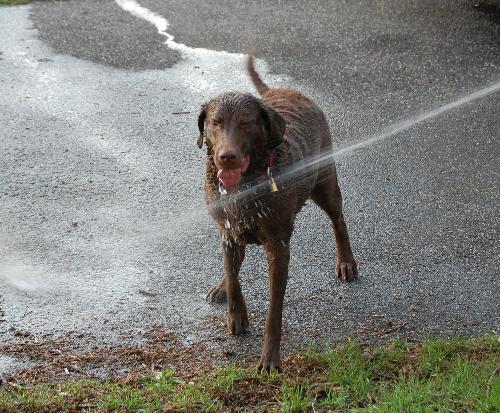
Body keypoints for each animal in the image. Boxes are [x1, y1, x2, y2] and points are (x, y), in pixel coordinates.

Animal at [197, 54, 358, 370]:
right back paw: (221, 285)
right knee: (234, 261)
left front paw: (270, 358)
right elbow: (232, 274)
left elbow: (274, 310)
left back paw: (347, 261)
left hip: (325, 182)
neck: (246, 185)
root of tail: (284, 90)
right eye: (215, 122)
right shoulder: (227, 230)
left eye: (245, 123)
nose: (226, 156)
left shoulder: (278, 246)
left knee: (339, 220)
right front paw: (236, 313)